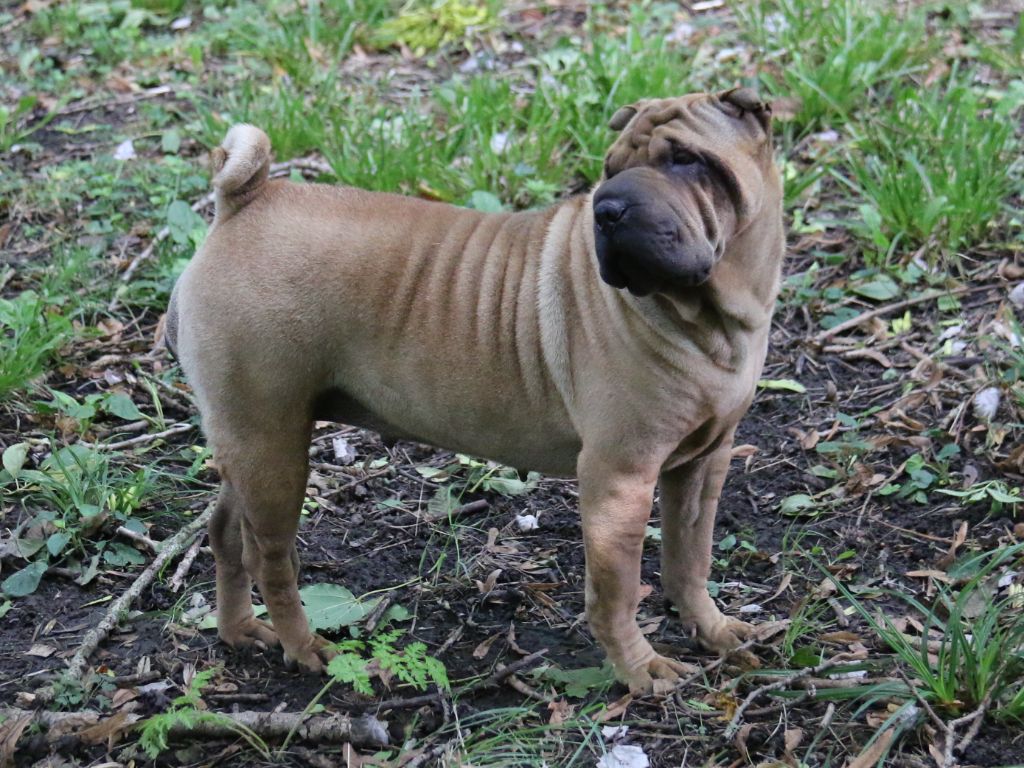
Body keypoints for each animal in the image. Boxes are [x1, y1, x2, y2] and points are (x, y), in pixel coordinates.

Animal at [165, 87, 782, 696]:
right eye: (610, 169)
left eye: (687, 160)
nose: (608, 208)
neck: (708, 319)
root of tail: (245, 200)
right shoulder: (619, 477)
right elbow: (618, 590)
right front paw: (639, 669)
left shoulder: (704, 460)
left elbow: (690, 555)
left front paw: (712, 630)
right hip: (272, 445)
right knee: (269, 558)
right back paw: (304, 646)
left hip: (251, 441)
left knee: (226, 532)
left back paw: (240, 630)